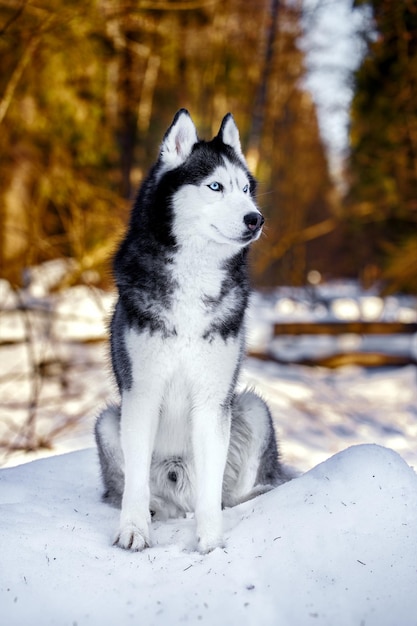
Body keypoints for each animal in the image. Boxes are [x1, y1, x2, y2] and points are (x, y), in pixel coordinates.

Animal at [95, 108, 288, 552]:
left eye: (246, 189)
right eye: (215, 186)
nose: (256, 218)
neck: (194, 276)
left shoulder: (213, 398)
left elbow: (211, 492)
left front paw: (211, 540)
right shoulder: (141, 394)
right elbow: (134, 486)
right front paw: (134, 531)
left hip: (253, 408)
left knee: (230, 492)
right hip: (108, 421)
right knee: (134, 490)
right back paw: (154, 510)